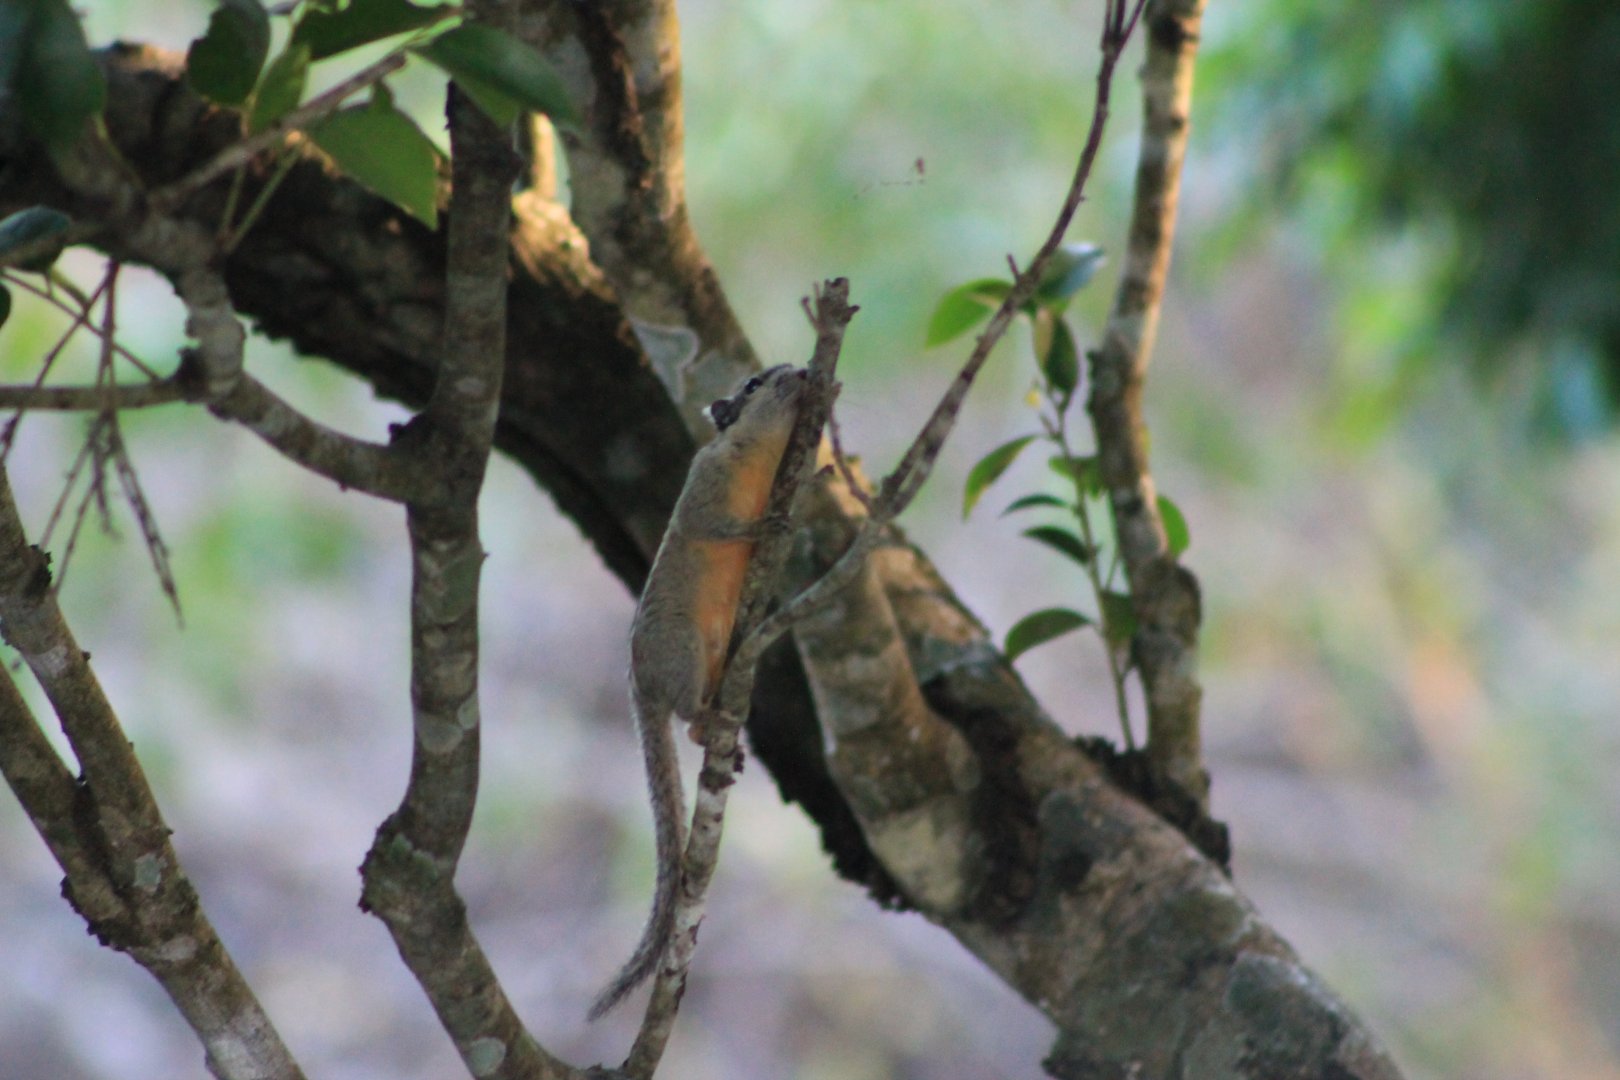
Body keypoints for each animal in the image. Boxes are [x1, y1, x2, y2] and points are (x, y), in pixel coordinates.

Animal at [590, 363, 810, 1020]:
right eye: (756, 382)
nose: (803, 372)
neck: (759, 456)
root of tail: (640, 681)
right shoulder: (703, 483)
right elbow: (708, 524)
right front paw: (759, 526)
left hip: (713, 659)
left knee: (690, 725)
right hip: (684, 647)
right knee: (687, 714)